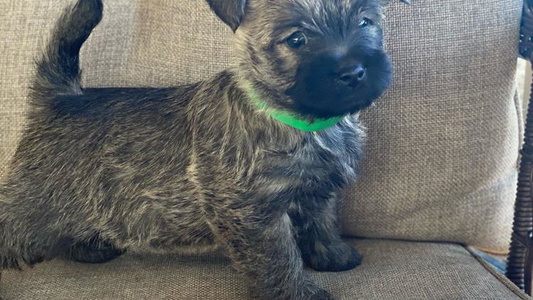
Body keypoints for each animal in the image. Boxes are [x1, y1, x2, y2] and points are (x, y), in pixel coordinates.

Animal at [0, 0, 408, 298]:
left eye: (366, 21)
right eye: (296, 39)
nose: (353, 72)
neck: (294, 119)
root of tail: (62, 99)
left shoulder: (319, 191)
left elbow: (322, 224)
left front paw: (335, 256)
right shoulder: (253, 212)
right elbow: (278, 257)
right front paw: (296, 293)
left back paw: (89, 248)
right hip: (29, 202)